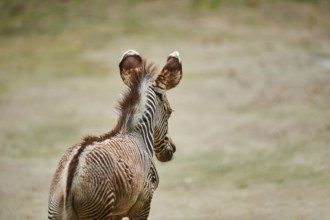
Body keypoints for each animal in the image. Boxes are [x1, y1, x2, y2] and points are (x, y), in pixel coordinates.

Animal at [48, 50, 183, 220]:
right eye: (170, 112)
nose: (172, 150)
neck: (137, 134)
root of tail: (69, 180)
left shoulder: (117, 213)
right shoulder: (143, 204)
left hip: (55, 210)